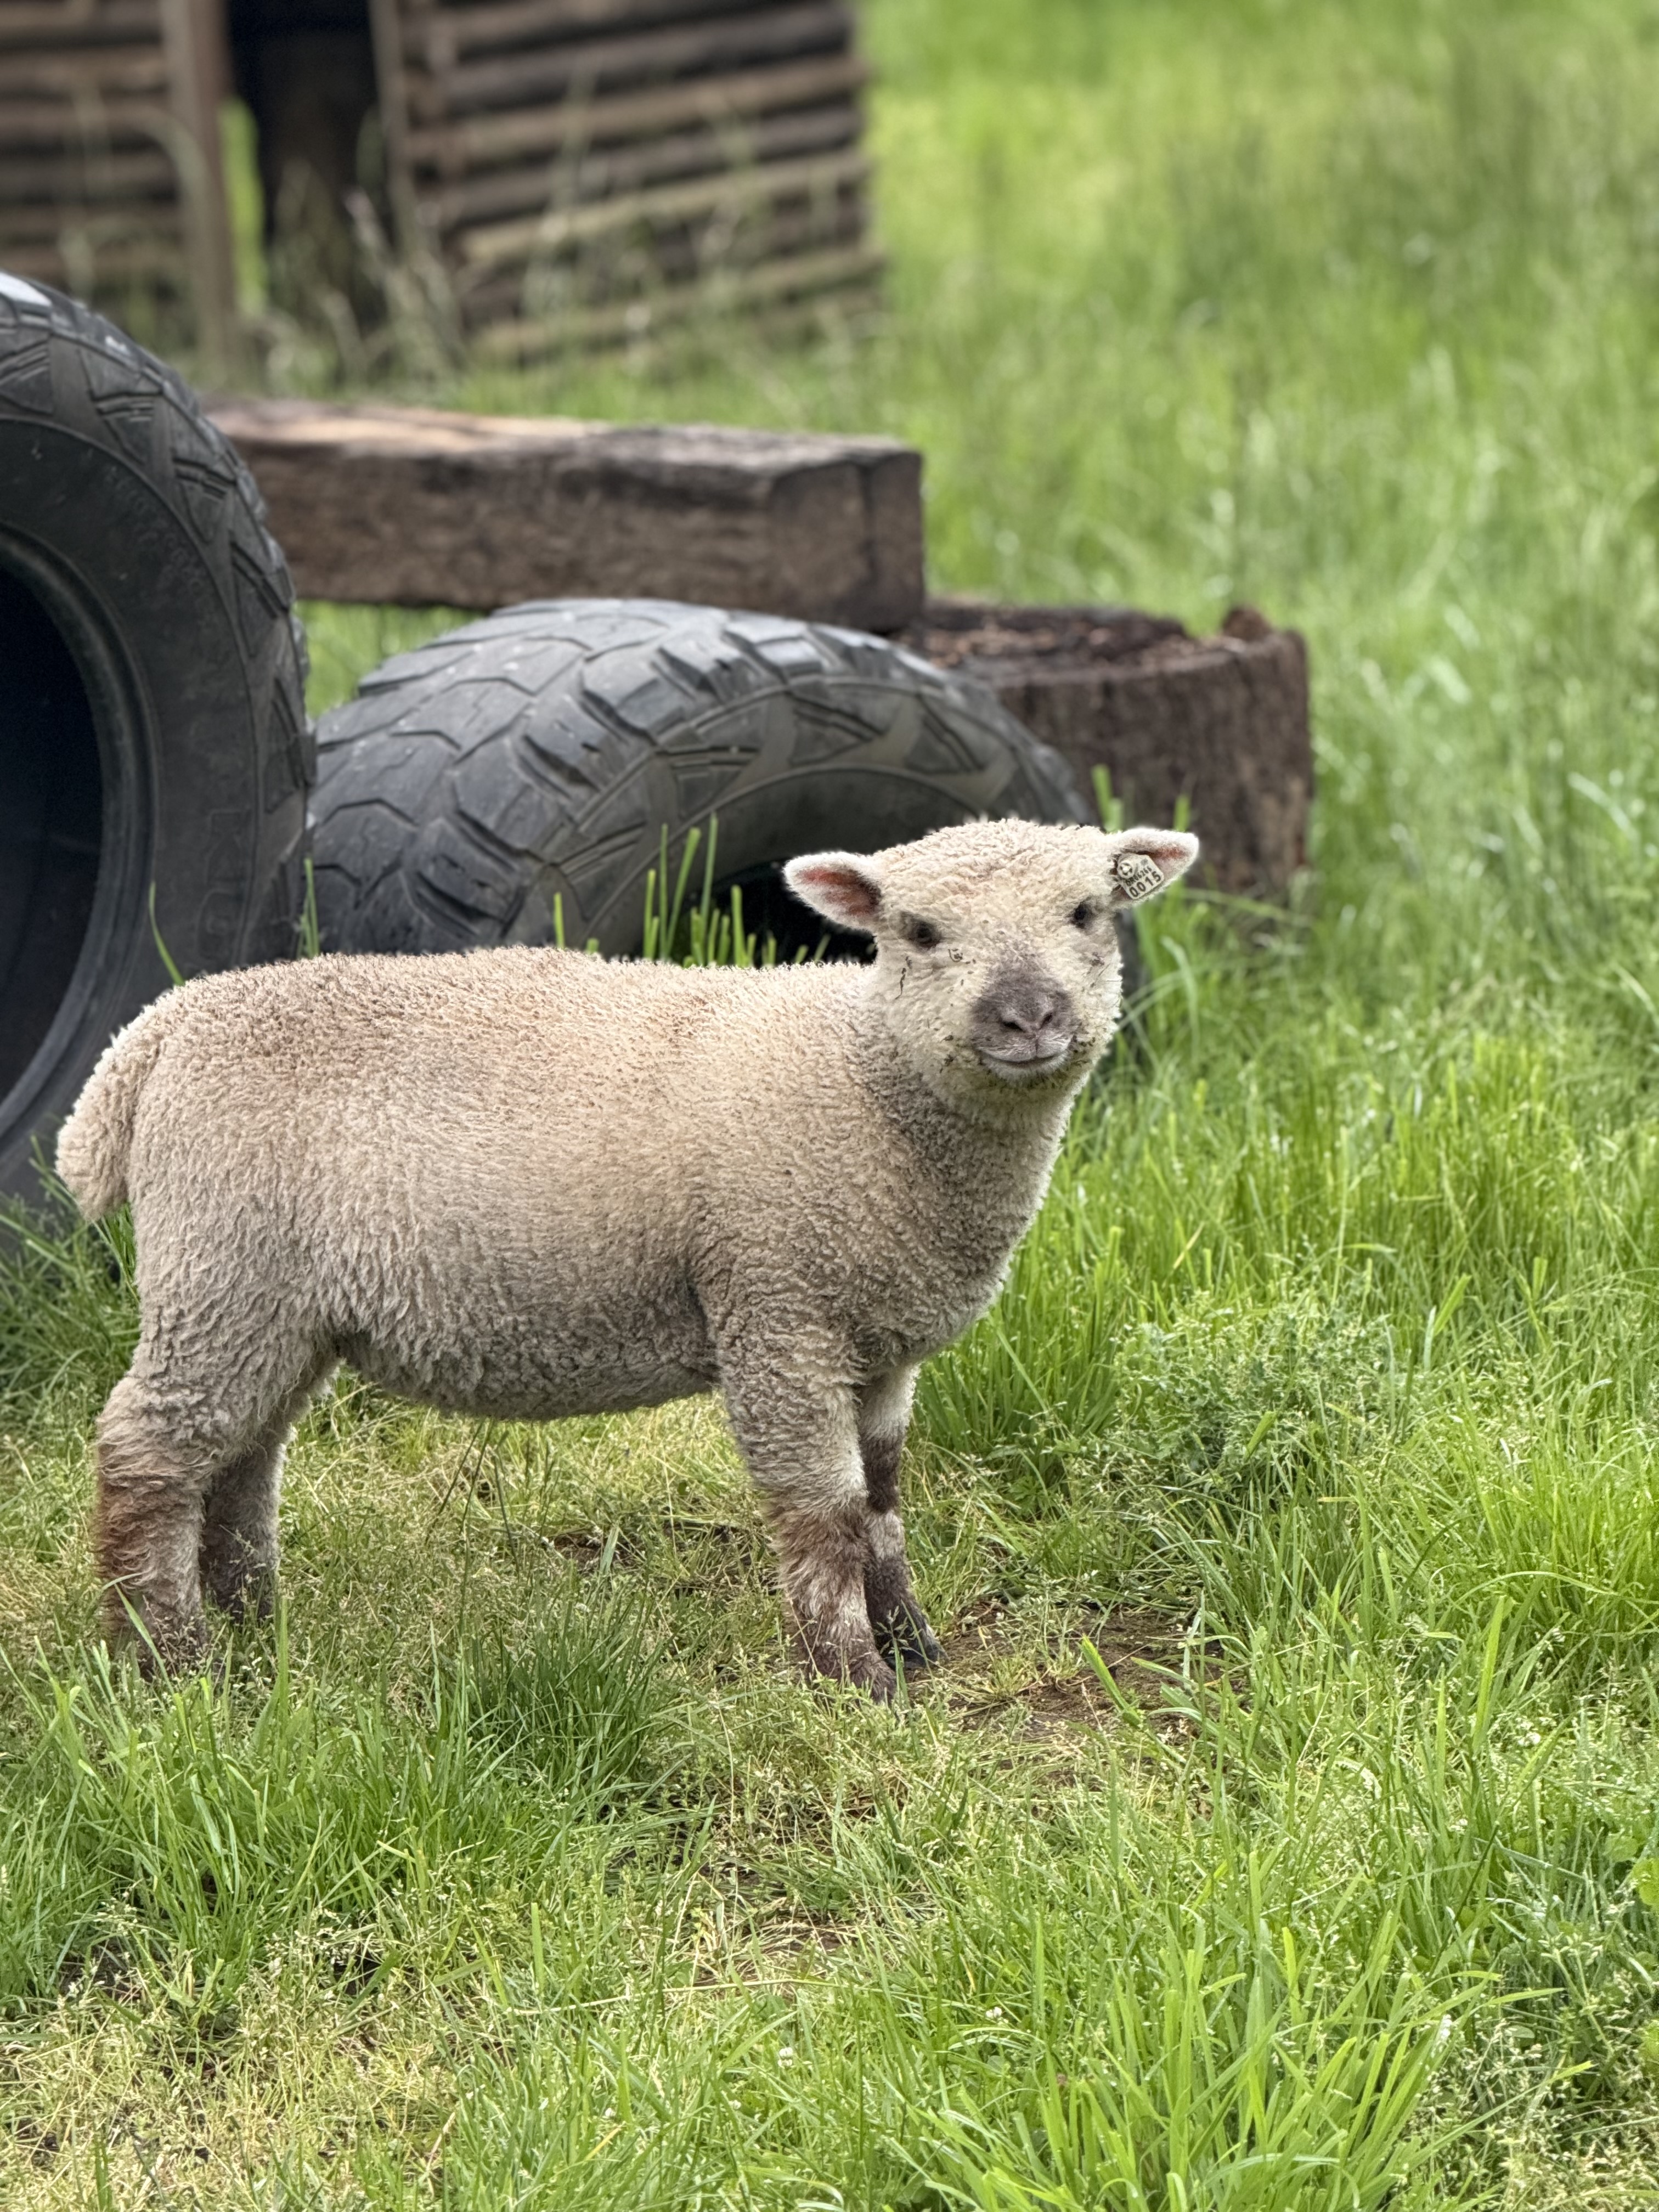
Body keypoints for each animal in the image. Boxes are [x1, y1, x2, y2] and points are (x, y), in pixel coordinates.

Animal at [57, 817, 1197, 1697]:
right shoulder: (775, 1305)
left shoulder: (876, 1339)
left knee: (243, 1459)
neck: (867, 1082)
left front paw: (910, 1640)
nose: (1028, 1016)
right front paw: (851, 1677)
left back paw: (256, 1626)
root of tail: (157, 1032)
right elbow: (819, 1508)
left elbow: (877, 1497)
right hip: (223, 1267)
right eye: (918, 932)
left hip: (276, 1303)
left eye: (1086, 913)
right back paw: (169, 1662)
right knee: (148, 1451)